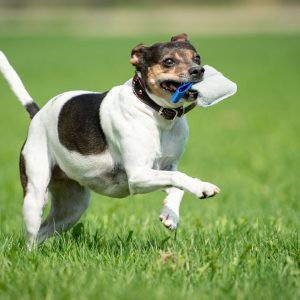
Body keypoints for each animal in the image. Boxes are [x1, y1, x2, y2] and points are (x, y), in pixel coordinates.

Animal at [0, 33, 236, 248]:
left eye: (197, 57)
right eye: (168, 61)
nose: (198, 70)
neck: (155, 113)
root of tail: (37, 115)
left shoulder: (164, 167)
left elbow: (177, 184)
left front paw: (170, 215)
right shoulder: (138, 176)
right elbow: (179, 177)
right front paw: (202, 187)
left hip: (72, 208)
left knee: (44, 231)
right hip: (36, 193)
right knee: (31, 236)